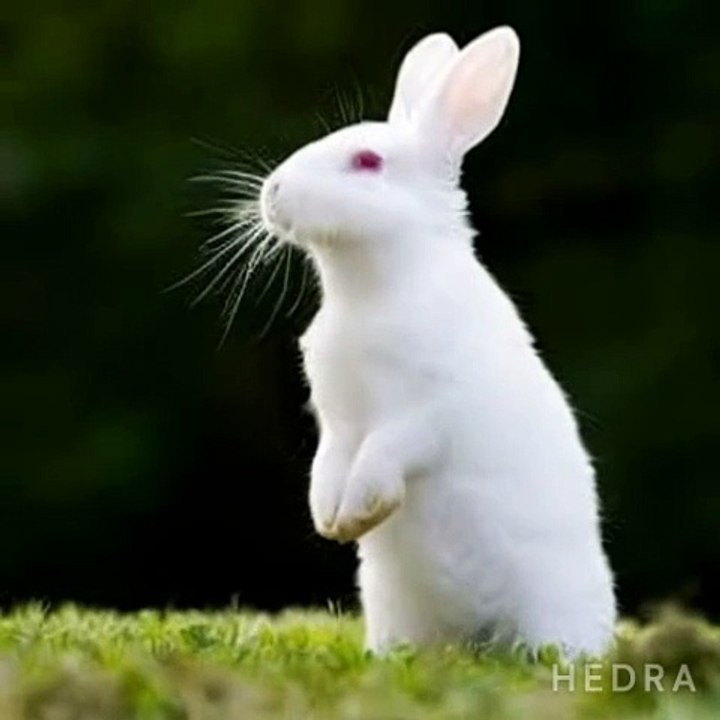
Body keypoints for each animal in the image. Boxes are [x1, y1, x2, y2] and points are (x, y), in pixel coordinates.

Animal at [258, 25, 617, 657]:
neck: (369, 292)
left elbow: (383, 456)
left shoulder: (425, 415)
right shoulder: (337, 421)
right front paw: (330, 519)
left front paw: (355, 513)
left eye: (367, 161)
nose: (272, 192)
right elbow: (329, 464)